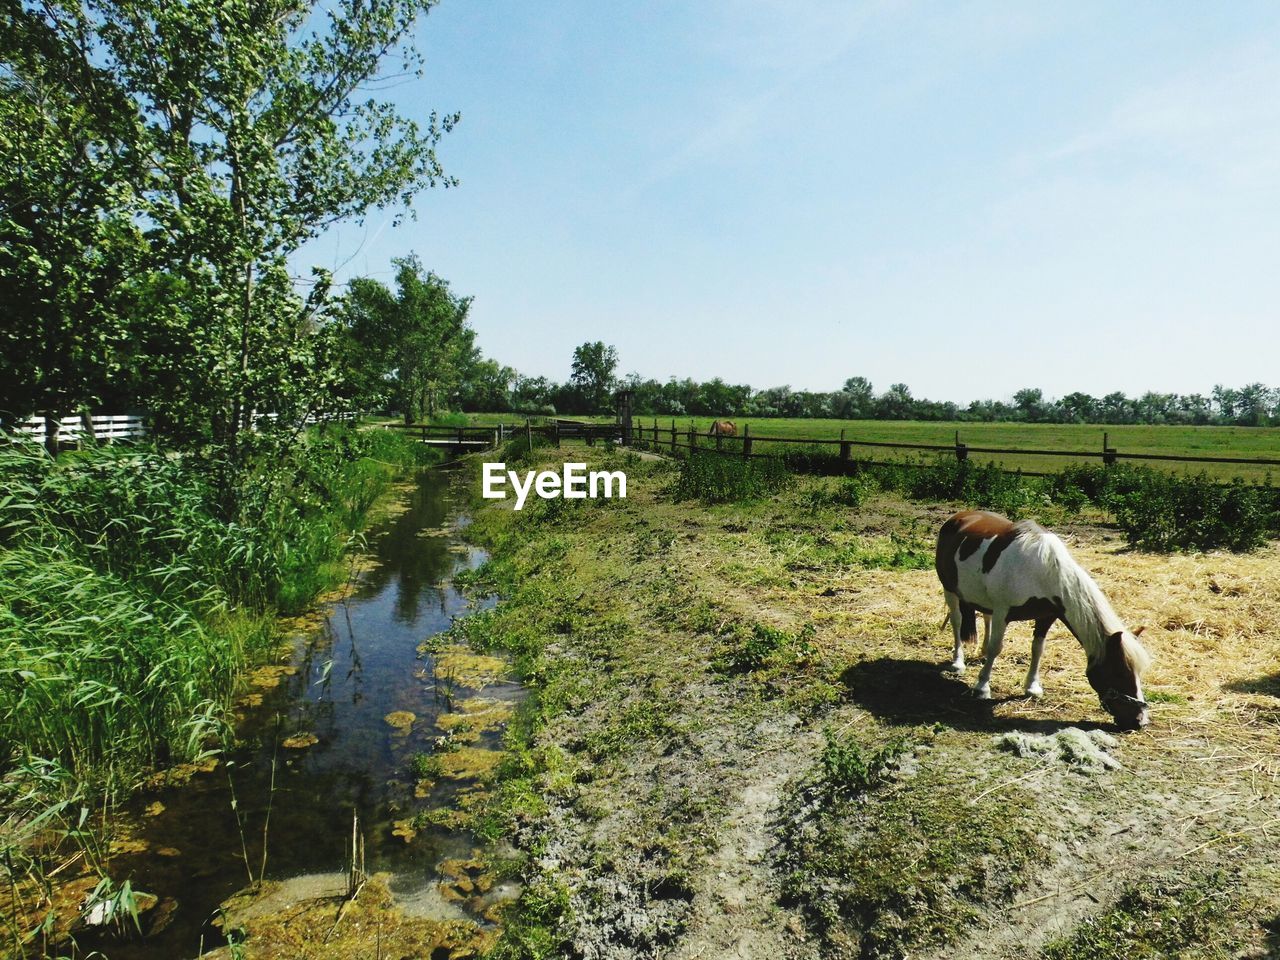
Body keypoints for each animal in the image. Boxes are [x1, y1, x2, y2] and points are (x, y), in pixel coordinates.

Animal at [936, 512, 1157, 727]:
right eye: (1120, 672)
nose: (1140, 721)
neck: (1040, 571)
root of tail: (959, 517)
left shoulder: (1046, 617)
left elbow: (1037, 649)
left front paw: (1032, 687)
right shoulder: (1002, 612)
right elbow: (995, 648)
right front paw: (982, 687)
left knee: (985, 616)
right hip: (949, 590)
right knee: (956, 621)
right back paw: (958, 662)